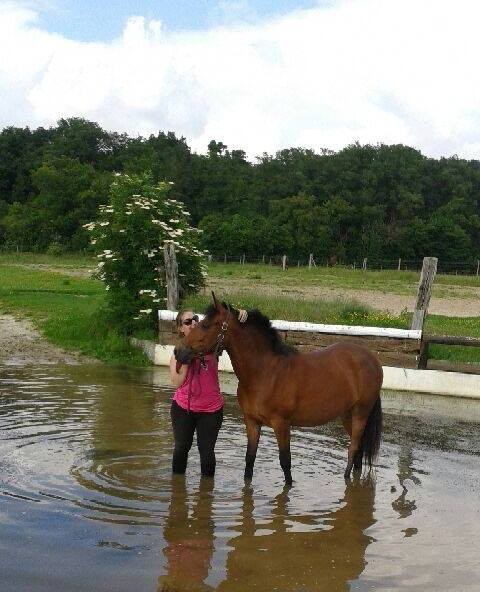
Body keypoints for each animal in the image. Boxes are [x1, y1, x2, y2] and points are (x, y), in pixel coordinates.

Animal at [176, 292, 382, 486]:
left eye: (205, 325)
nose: (178, 352)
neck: (265, 372)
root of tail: (371, 358)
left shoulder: (281, 424)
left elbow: (285, 462)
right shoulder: (252, 422)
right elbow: (249, 459)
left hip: (361, 413)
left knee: (353, 448)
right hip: (347, 415)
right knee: (358, 451)